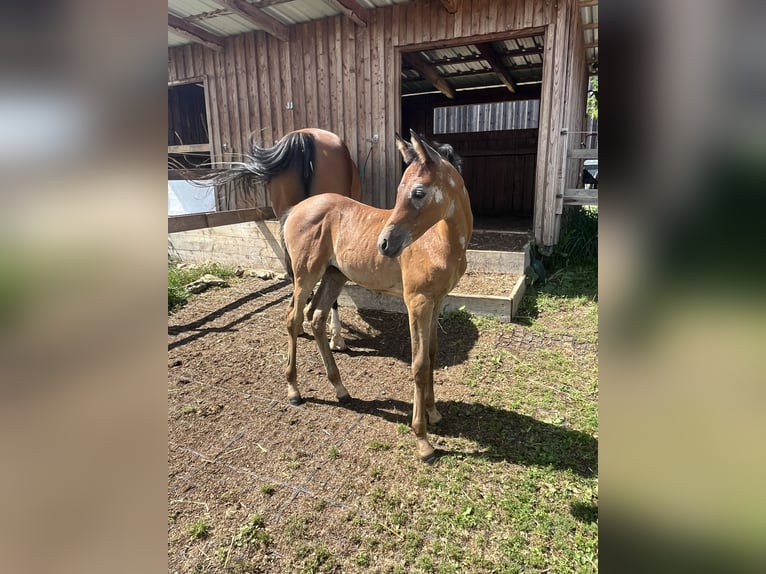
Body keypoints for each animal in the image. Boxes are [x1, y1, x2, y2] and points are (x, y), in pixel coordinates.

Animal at [282, 130, 474, 464]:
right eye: (399, 191)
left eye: (419, 192)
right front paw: (423, 440)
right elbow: (419, 364)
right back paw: (294, 390)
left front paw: (434, 413)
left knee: (316, 317)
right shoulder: (417, 302)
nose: (384, 244)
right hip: (305, 274)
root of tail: (296, 209)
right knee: (294, 319)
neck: (441, 241)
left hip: (334, 275)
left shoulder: (437, 301)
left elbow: (433, 354)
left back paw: (340, 388)